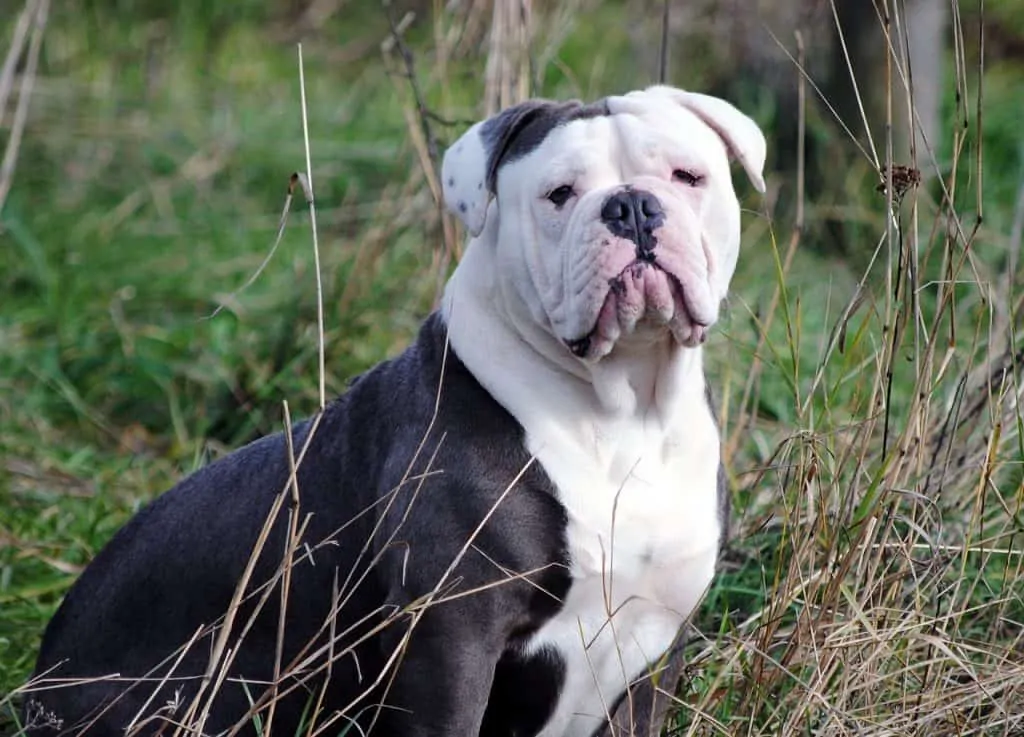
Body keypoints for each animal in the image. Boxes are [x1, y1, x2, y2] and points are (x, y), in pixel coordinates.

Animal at [24, 86, 765, 737]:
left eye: (688, 175)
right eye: (560, 194)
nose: (633, 206)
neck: (623, 409)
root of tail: (37, 681)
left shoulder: (654, 644)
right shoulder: (450, 636)